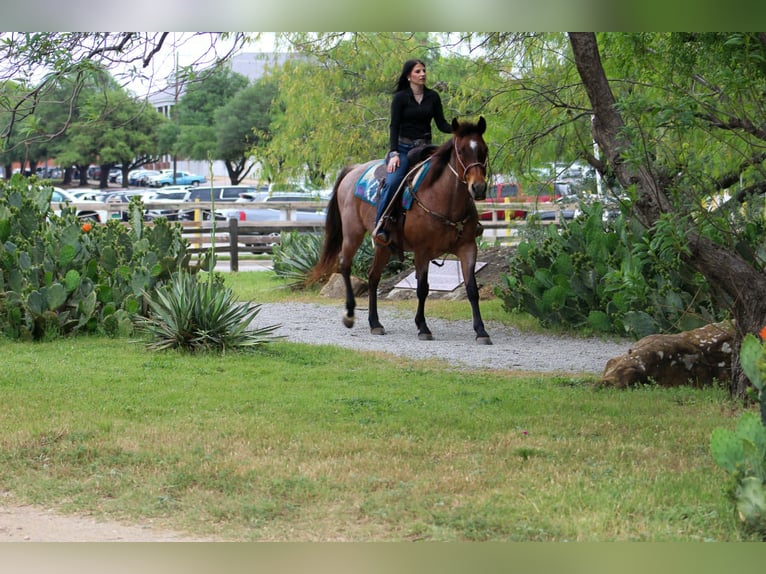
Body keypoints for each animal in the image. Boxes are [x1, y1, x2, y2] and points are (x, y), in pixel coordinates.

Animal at [311, 116, 492, 344]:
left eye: (484, 149)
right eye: (461, 150)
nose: (478, 188)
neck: (444, 199)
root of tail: (353, 170)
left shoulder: (468, 247)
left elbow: (472, 289)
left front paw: (481, 331)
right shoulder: (422, 251)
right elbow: (422, 289)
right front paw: (423, 327)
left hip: (383, 246)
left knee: (373, 277)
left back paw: (375, 323)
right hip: (353, 233)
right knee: (345, 264)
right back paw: (350, 314)